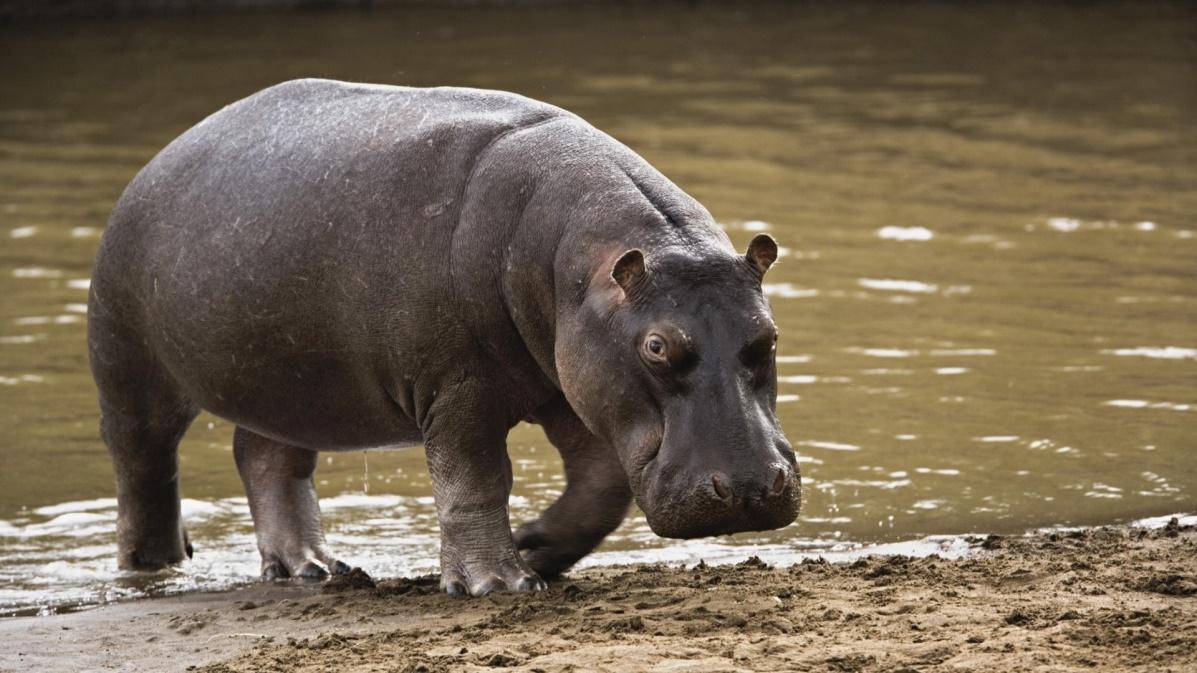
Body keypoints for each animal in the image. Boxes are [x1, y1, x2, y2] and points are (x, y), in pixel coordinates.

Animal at [88, 76, 799, 593]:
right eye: (656, 346)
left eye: (768, 335)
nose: (747, 489)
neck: (578, 264)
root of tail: (159, 158)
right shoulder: (458, 389)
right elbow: (475, 480)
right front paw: (499, 585)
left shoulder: (571, 385)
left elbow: (602, 486)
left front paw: (536, 548)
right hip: (130, 369)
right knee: (143, 470)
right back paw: (152, 570)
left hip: (287, 382)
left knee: (266, 459)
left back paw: (312, 570)